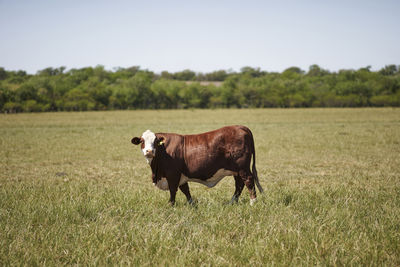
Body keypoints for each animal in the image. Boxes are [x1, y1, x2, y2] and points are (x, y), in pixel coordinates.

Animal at [130, 125, 262, 205]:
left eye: (155, 141)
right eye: (142, 141)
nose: (149, 151)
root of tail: (240, 127)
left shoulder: (173, 174)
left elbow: (173, 191)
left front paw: (170, 205)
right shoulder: (181, 176)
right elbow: (186, 190)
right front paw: (191, 204)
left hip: (243, 167)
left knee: (248, 181)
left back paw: (253, 202)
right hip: (236, 170)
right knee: (239, 185)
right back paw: (232, 202)